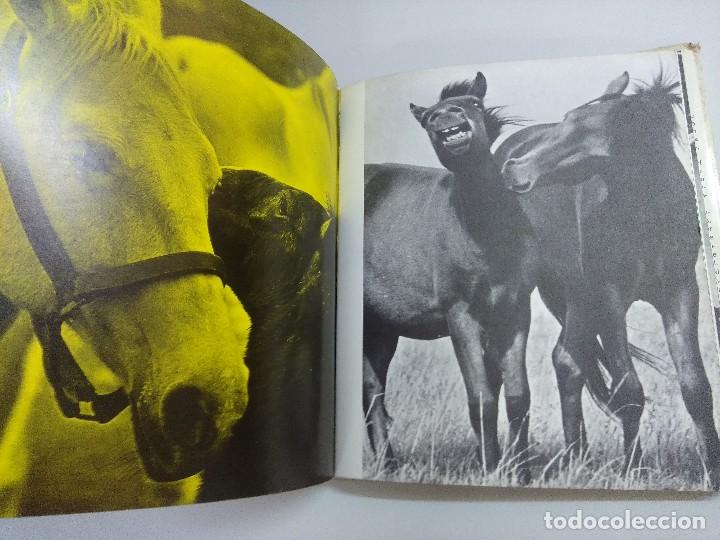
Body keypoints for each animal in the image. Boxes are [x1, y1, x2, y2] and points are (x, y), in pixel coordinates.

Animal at [363, 72, 538, 480]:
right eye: (429, 118)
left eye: (473, 103)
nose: (446, 119)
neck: (486, 236)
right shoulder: (462, 317)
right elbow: (482, 399)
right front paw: (490, 468)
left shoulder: (514, 314)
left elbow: (517, 397)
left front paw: (519, 472)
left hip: (381, 331)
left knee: (373, 394)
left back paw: (389, 466)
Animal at [496, 71, 720, 486]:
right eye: (567, 120)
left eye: (589, 132)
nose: (515, 169)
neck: (646, 214)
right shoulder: (610, 299)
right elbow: (629, 390)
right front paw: (633, 469)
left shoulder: (680, 292)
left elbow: (696, 387)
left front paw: (712, 471)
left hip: (576, 296)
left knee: (567, 361)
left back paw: (578, 458)